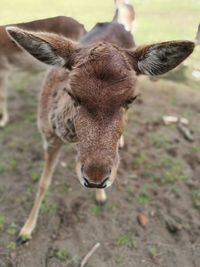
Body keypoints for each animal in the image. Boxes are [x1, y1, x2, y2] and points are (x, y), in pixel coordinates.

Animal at [5, 0, 195, 245]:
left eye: (131, 98)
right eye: (72, 93)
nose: (95, 178)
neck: (69, 138)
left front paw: (101, 197)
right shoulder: (48, 137)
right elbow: (42, 183)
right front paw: (25, 232)